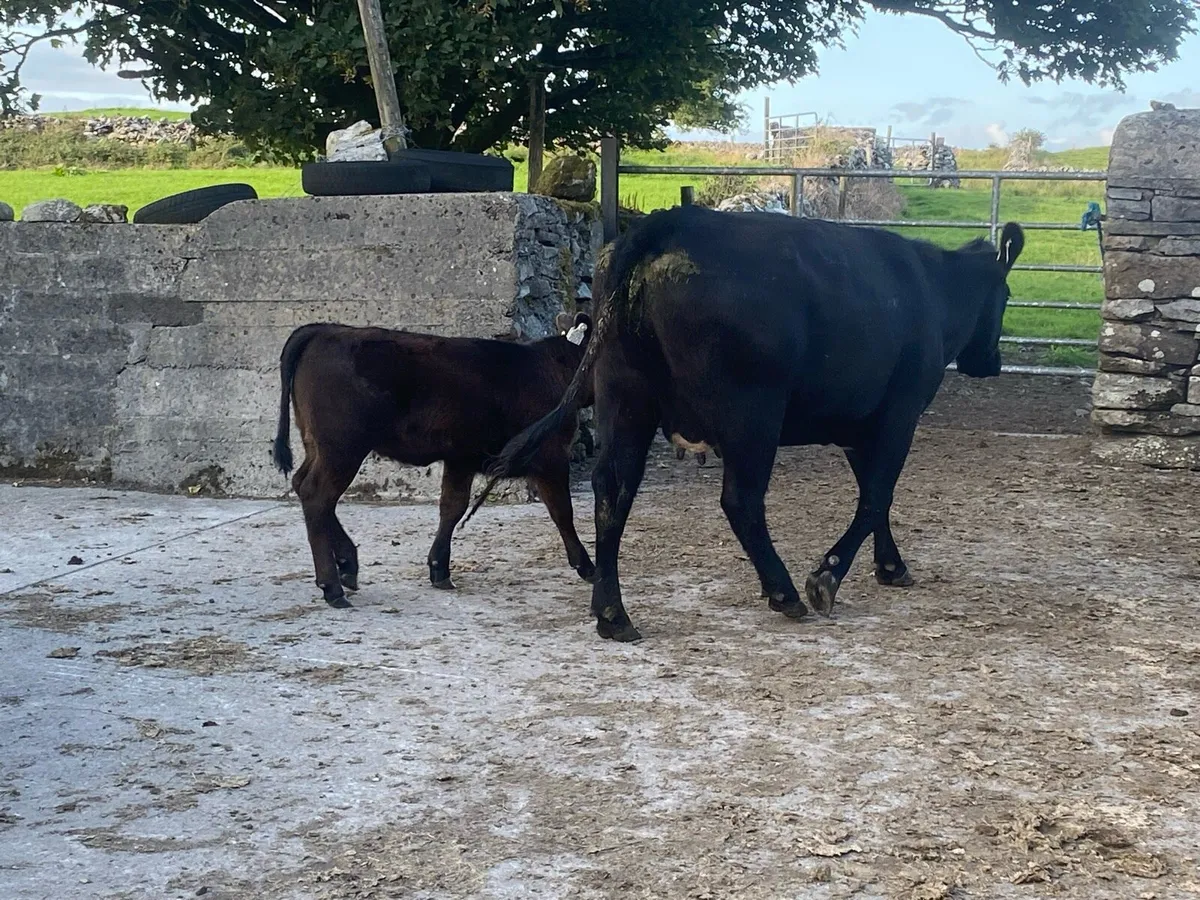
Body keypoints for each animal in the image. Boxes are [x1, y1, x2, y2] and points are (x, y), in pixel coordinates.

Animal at [270, 313, 597, 608]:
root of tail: (325, 330)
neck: (555, 368)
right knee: (317, 496)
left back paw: (347, 564)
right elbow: (562, 511)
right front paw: (587, 566)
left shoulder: (461, 458)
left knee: (304, 487)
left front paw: (439, 568)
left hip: (318, 446)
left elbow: (452, 507)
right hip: (342, 449)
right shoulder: (551, 456)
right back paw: (332, 587)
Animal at [473, 205, 1024, 641]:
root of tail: (673, 222)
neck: (931, 289)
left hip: (624, 396)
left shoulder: (857, 425)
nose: (991, 362)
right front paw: (828, 576)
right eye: (1007, 295)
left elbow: (876, 495)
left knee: (614, 489)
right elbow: (876, 497)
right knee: (740, 499)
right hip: (751, 414)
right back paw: (784, 592)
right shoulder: (899, 413)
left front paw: (890, 566)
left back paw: (613, 614)